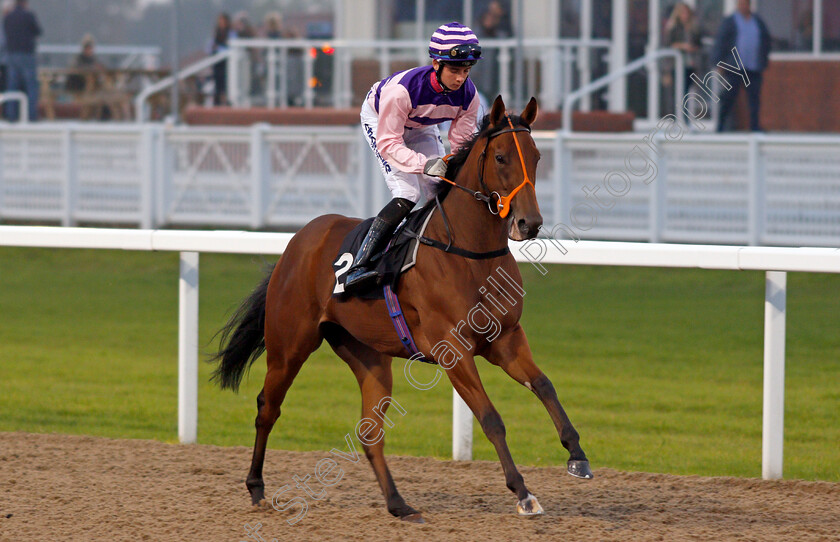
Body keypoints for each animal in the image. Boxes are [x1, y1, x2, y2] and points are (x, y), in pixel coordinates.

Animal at [209, 95, 592, 524]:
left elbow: (544, 385)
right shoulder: (454, 350)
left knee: (369, 433)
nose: (530, 223)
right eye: (501, 158)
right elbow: (491, 418)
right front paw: (523, 493)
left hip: (369, 358)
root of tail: (297, 242)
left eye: (537, 156)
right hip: (289, 346)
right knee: (267, 408)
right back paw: (256, 486)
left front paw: (577, 456)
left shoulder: (506, 340)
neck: (469, 252)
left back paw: (398, 504)